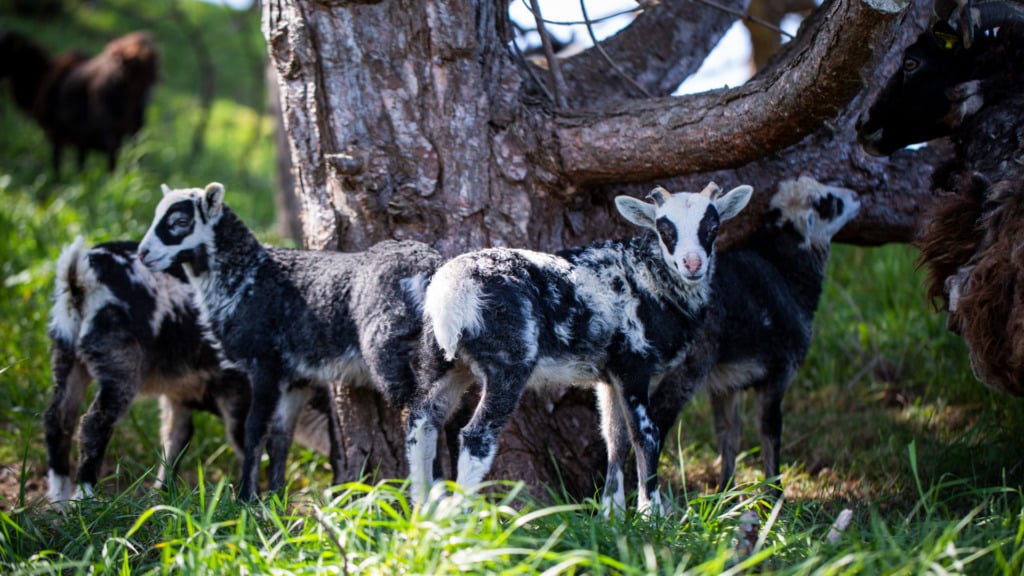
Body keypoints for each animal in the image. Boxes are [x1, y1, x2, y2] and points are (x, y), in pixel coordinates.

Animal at [0, 29, 158, 174]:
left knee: (113, 153)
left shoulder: (57, 130)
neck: (40, 77)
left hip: (110, 125)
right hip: (136, 123)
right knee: (133, 151)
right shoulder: (81, 135)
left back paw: (112, 179)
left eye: (6, 50)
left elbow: (58, 161)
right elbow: (80, 160)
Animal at [45, 235, 331, 504]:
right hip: (120, 362)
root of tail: (79, 275)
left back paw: (59, 503)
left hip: (65, 350)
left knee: (57, 419)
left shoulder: (179, 393)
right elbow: (244, 440)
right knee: (93, 424)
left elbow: (175, 439)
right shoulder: (238, 388)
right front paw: (251, 502)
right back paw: (86, 497)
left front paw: (162, 498)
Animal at [138, 182, 442, 498]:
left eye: (180, 222)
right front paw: (275, 496)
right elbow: (280, 437)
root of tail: (425, 268)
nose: (142, 254)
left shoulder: (265, 363)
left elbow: (254, 430)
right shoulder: (297, 377)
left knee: (419, 416)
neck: (247, 277)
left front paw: (246, 497)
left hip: (389, 347)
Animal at [405, 181, 753, 512]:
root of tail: (451, 292)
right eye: (665, 229)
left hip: (442, 359)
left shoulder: (609, 376)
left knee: (421, 422)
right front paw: (650, 512)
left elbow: (615, 437)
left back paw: (423, 513)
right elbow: (646, 435)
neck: (649, 279)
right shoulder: (634, 364)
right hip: (509, 361)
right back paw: (460, 518)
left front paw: (611, 514)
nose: (692, 264)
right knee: (476, 437)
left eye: (712, 227)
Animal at [651, 176, 860, 494]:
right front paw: (774, 493)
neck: (787, 273)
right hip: (687, 366)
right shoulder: (779, 370)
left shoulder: (725, 382)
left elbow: (729, 432)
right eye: (828, 203)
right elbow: (769, 430)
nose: (856, 196)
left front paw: (726, 491)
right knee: (656, 421)